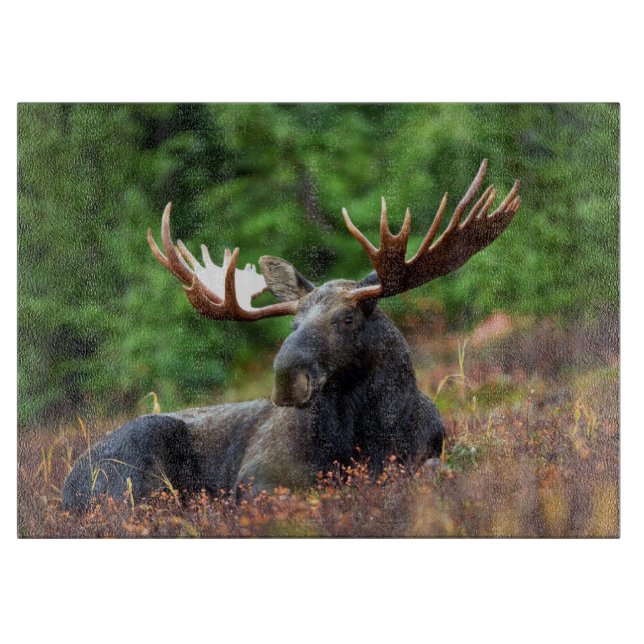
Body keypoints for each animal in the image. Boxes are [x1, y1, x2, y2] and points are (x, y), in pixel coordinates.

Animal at [62, 159, 521, 510]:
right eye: (292, 324)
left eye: (347, 319)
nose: (286, 377)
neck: (368, 433)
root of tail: (67, 489)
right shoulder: (257, 477)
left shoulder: (427, 453)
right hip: (136, 469)